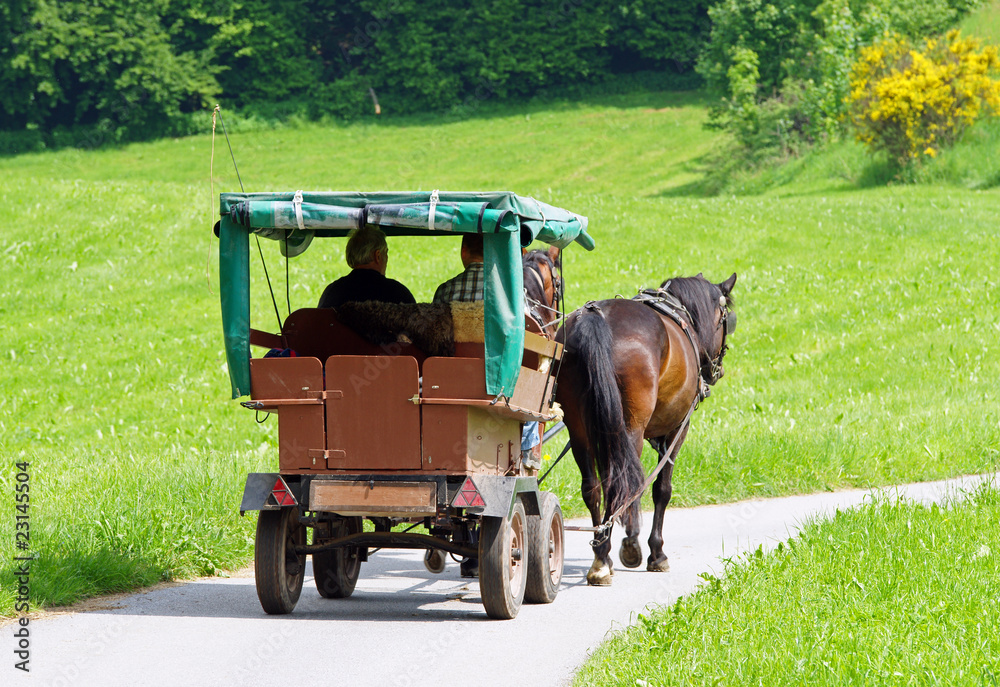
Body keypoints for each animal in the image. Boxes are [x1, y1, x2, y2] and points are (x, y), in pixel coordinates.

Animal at [555, 273, 737, 586]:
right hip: (630, 430)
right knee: (625, 484)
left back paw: (601, 554)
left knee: (593, 487)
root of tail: (596, 317)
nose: (717, 369)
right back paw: (623, 547)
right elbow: (661, 489)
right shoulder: (678, 429)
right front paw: (655, 552)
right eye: (726, 320)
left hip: (579, 430)